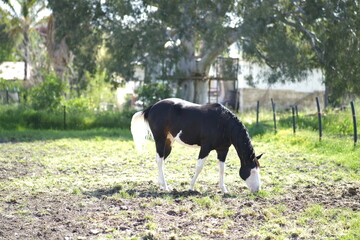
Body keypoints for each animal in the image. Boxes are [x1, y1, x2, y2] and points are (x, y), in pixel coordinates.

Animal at [129, 97, 262, 193]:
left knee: (159, 161)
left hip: (168, 143)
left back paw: (162, 185)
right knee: (160, 160)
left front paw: (224, 189)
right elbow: (199, 167)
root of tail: (152, 107)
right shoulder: (205, 148)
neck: (224, 123)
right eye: (252, 171)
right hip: (160, 140)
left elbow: (222, 169)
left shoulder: (223, 150)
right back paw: (165, 187)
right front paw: (191, 187)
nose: (257, 190)